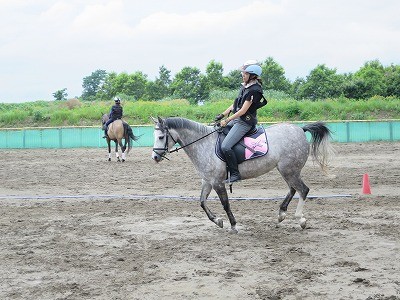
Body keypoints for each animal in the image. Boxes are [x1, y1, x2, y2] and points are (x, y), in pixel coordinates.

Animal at [152, 116, 332, 232]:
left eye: (161, 137)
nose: (154, 157)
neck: (204, 144)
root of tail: (300, 129)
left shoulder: (217, 182)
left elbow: (225, 204)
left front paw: (232, 225)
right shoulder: (207, 181)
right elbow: (202, 202)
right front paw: (218, 221)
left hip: (290, 170)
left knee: (303, 190)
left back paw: (300, 219)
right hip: (287, 170)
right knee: (293, 189)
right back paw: (281, 214)